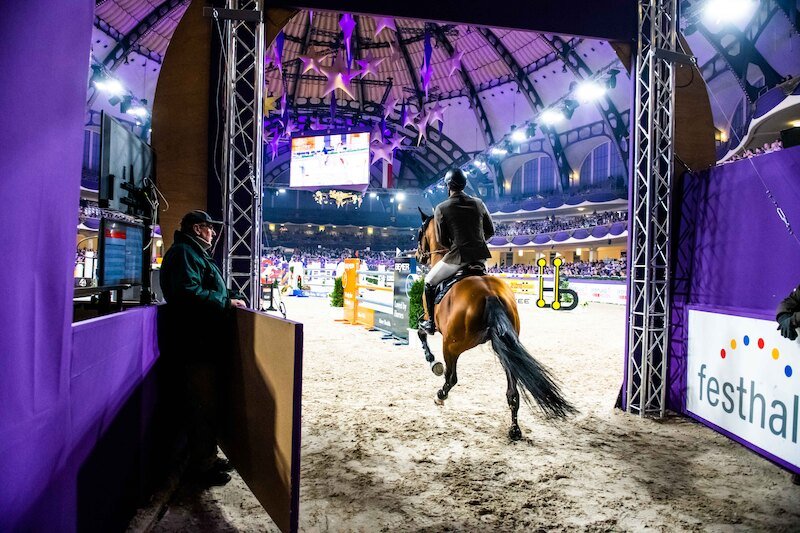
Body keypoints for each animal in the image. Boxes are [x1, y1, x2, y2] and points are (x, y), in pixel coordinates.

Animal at [412, 210, 576, 438]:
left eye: (420, 233)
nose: (418, 256)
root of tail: (489, 295)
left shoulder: (430, 322)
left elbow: (421, 332)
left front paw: (432, 361)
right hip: (506, 348)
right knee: (512, 391)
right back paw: (514, 429)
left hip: (452, 345)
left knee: (451, 377)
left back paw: (440, 396)